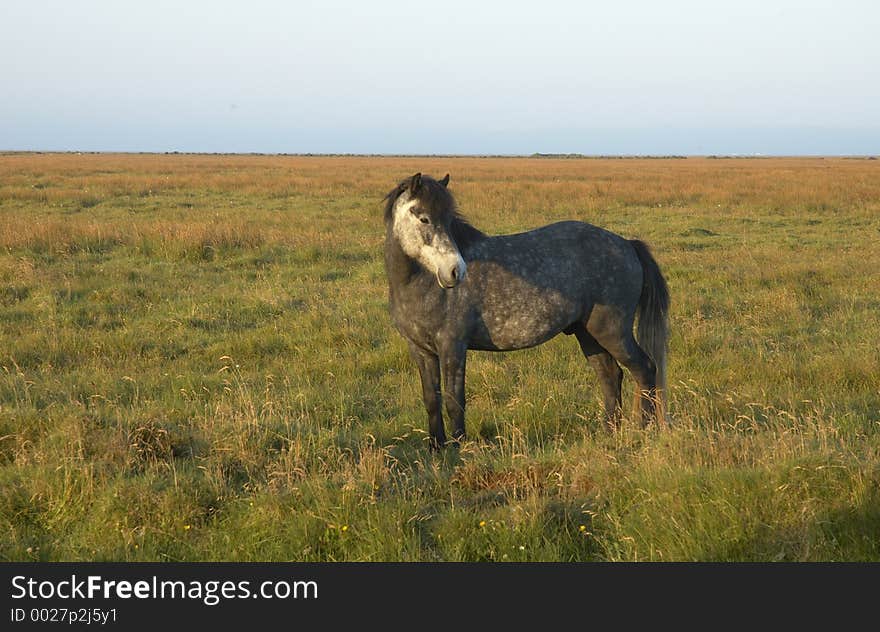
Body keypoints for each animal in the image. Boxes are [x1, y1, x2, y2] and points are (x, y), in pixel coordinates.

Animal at [384, 173, 668, 450]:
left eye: (450, 220)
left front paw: (458, 448)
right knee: (610, 375)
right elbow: (431, 400)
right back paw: (609, 432)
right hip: (588, 334)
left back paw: (644, 430)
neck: (421, 282)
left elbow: (455, 401)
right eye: (424, 218)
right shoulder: (421, 350)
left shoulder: (452, 347)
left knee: (644, 369)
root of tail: (627, 244)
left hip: (613, 332)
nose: (455, 271)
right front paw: (436, 447)